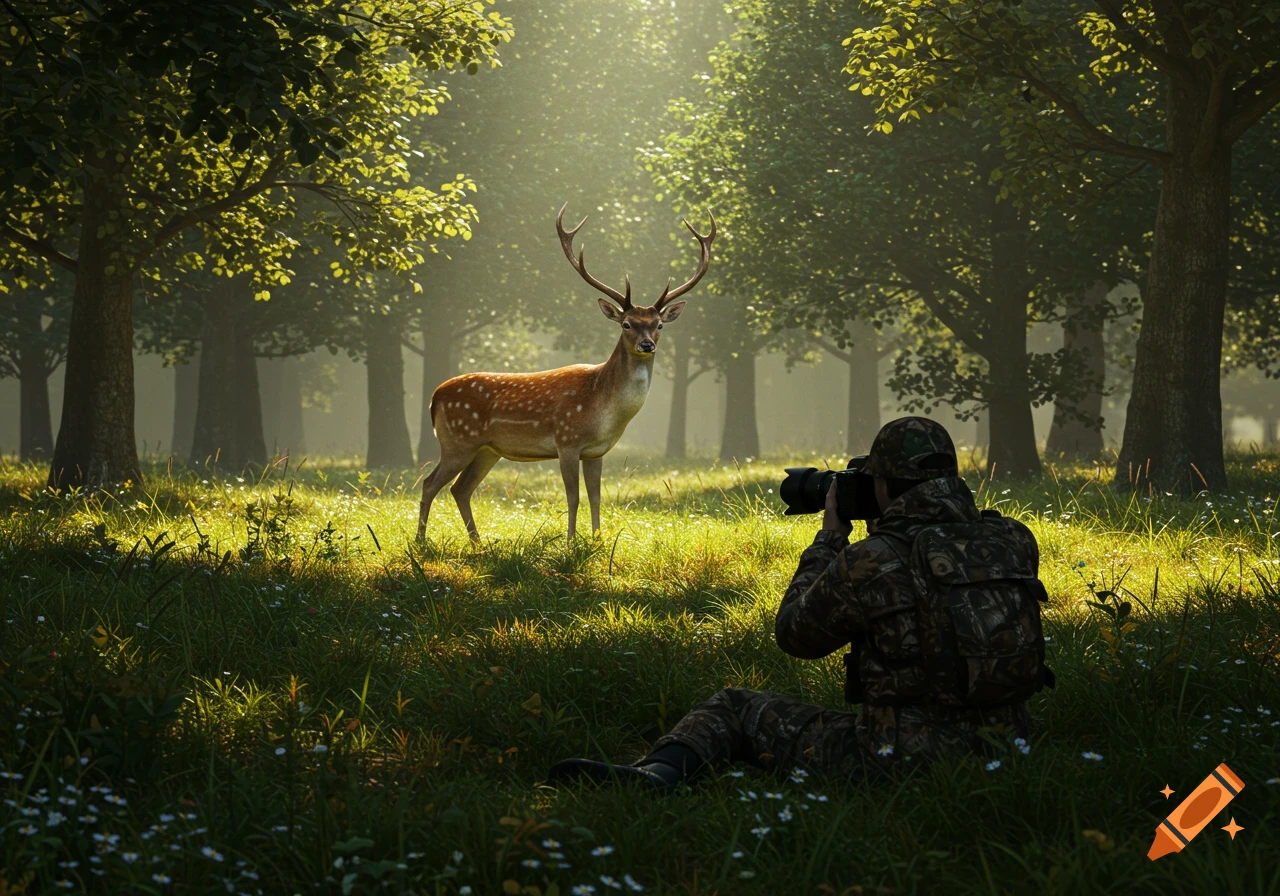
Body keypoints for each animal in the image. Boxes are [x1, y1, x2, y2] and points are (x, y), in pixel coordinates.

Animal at [415, 202, 715, 543]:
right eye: (626, 324)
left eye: (659, 324)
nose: (647, 344)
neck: (604, 411)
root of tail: (435, 396)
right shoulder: (567, 440)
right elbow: (573, 496)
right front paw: (571, 542)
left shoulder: (596, 452)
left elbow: (596, 496)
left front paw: (598, 540)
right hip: (457, 441)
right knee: (430, 483)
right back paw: (421, 542)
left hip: (487, 449)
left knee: (460, 489)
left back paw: (478, 543)